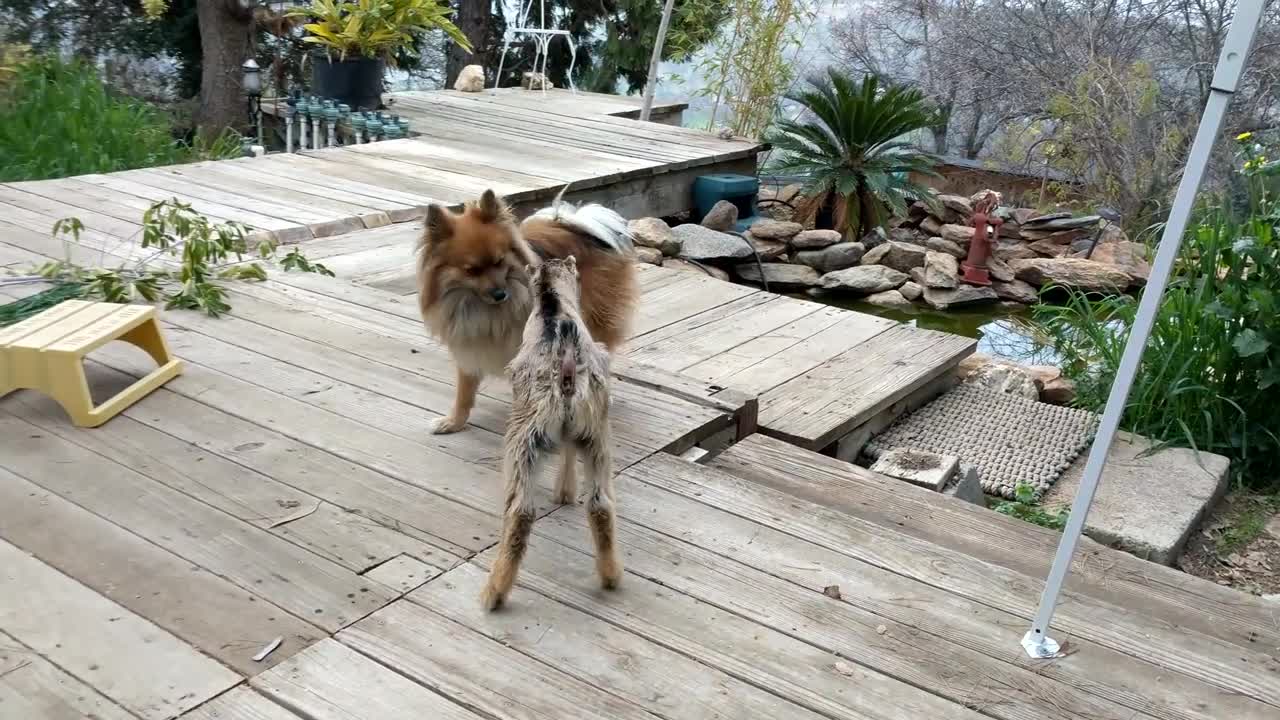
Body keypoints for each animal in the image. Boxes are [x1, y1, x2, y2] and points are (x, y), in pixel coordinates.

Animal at [419, 188, 640, 438]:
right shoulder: (470, 346)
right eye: (471, 271)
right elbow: (464, 393)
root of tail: (579, 224)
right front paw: (453, 422)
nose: (500, 294)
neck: (488, 311)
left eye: (499, 262)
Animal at [481, 254, 619, 607]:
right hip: (597, 433)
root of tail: (567, 361)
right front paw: (564, 493)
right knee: (600, 504)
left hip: (523, 438)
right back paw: (611, 576)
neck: (553, 303)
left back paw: (494, 592)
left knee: (520, 511)